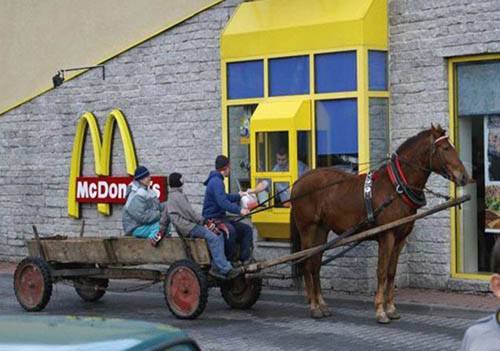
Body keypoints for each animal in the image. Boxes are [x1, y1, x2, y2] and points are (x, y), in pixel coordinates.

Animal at [292, 124, 470, 324]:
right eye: (446, 148)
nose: (464, 176)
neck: (396, 188)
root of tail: (299, 181)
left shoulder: (400, 238)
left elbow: (391, 272)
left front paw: (391, 308)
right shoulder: (387, 236)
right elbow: (382, 272)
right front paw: (380, 311)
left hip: (321, 230)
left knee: (315, 264)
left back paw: (322, 304)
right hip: (307, 229)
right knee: (307, 263)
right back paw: (314, 307)